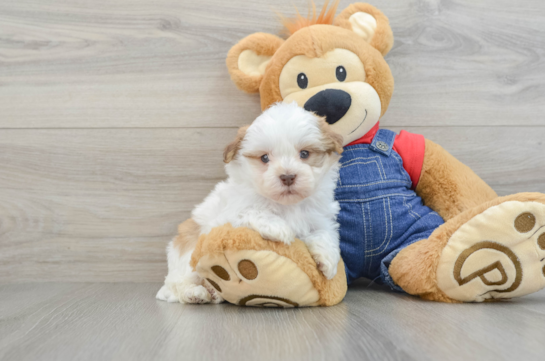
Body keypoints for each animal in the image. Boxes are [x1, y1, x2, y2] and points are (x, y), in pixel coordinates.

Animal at [155, 102, 342, 304]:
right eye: (265, 158)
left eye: (305, 154)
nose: (288, 176)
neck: (286, 205)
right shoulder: (226, 217)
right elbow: (251, 211)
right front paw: (278, 228)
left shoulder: (319, 216)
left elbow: (325, 232)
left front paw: (328, 260)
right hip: (186, 257)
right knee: (178, 282)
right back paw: (195, 293)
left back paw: (213, 293)